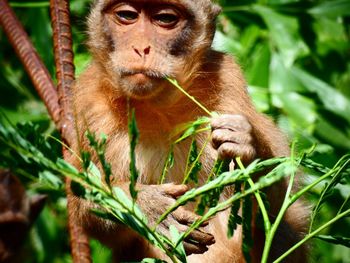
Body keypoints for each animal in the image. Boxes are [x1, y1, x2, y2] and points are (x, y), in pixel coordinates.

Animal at [69, 0, 308, 262]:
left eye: (165, 19)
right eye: (127, 16)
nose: (141, 48)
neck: (158, 108)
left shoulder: (228, 82)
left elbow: (281, 204)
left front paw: (248, 147)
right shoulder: (90, 104)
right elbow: (82, 201)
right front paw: (148, 207)